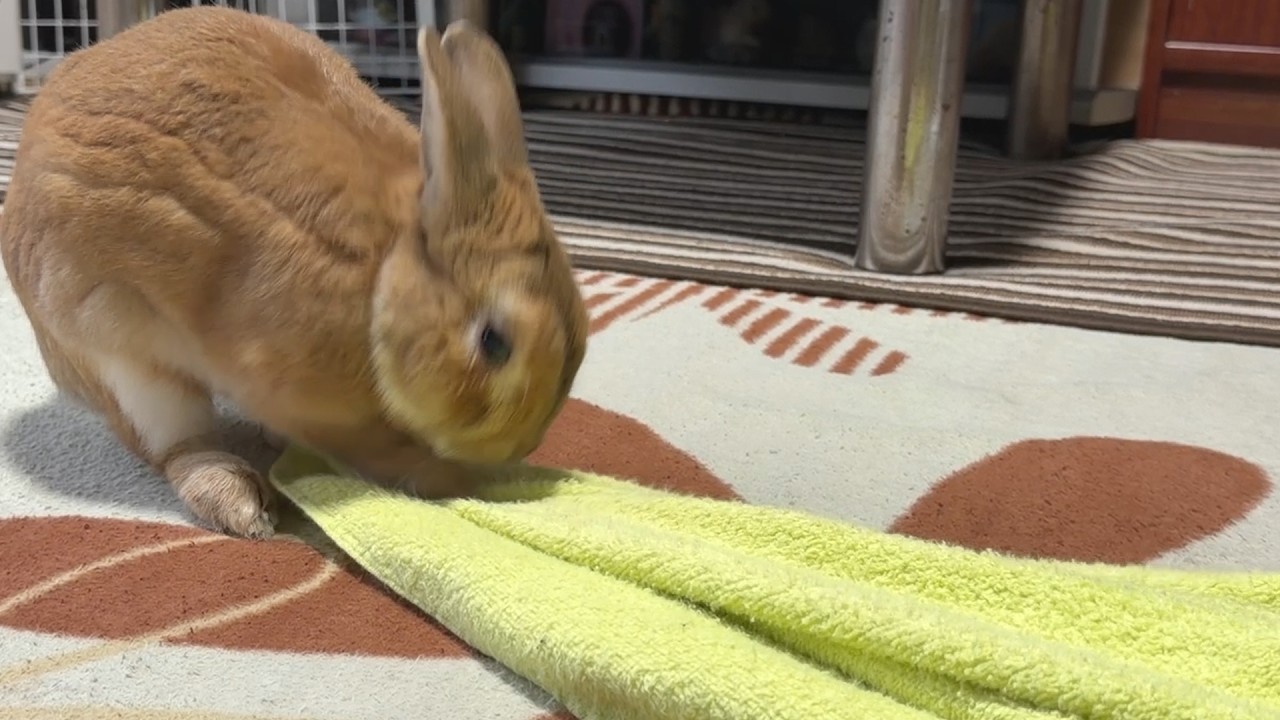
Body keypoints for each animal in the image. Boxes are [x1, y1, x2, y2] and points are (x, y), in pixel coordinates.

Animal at [0, 6, 589, 539]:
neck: (381, 279)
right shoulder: (310, 404)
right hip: (119, 361)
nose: (518, 447)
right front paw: (455, 481)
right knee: (173, 444)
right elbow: (373, 453)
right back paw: (240, 504)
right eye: (494, 342)